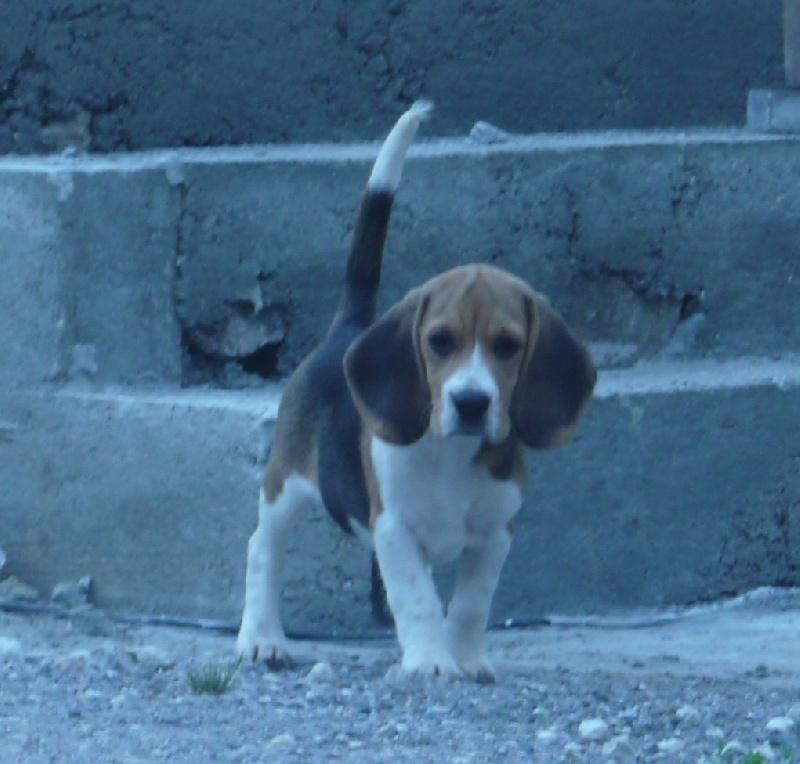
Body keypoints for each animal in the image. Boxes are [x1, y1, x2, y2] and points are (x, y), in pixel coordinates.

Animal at [234, 101, 596, 680]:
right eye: (440, 341)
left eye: (508, 345)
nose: (471, 402)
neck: (452, 455)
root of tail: (349, 329)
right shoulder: (395, 528)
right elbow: (419, 596)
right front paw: (430, 660)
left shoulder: (496, 533)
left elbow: (470, 605)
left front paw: (466, 659)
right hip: (285, 484)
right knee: (262, 549)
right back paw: (262, 639)